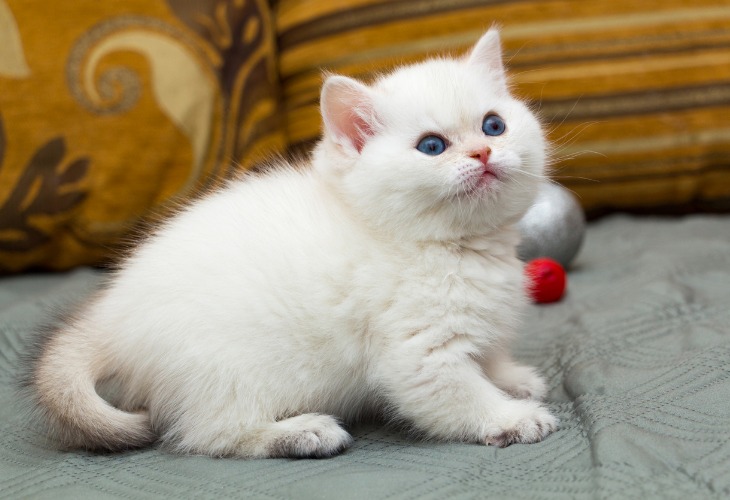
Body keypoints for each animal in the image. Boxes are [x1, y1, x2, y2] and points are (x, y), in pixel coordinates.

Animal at [25, 30, 556, 458]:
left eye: (493, 125)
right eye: (432, 146)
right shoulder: (417, 351)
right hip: (225, 367)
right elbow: (458, 393)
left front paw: (512, 380)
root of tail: (110, 316)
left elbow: (487, 356)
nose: (484, 152)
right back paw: (299, 434)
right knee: (208, 433)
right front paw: (510, 418)